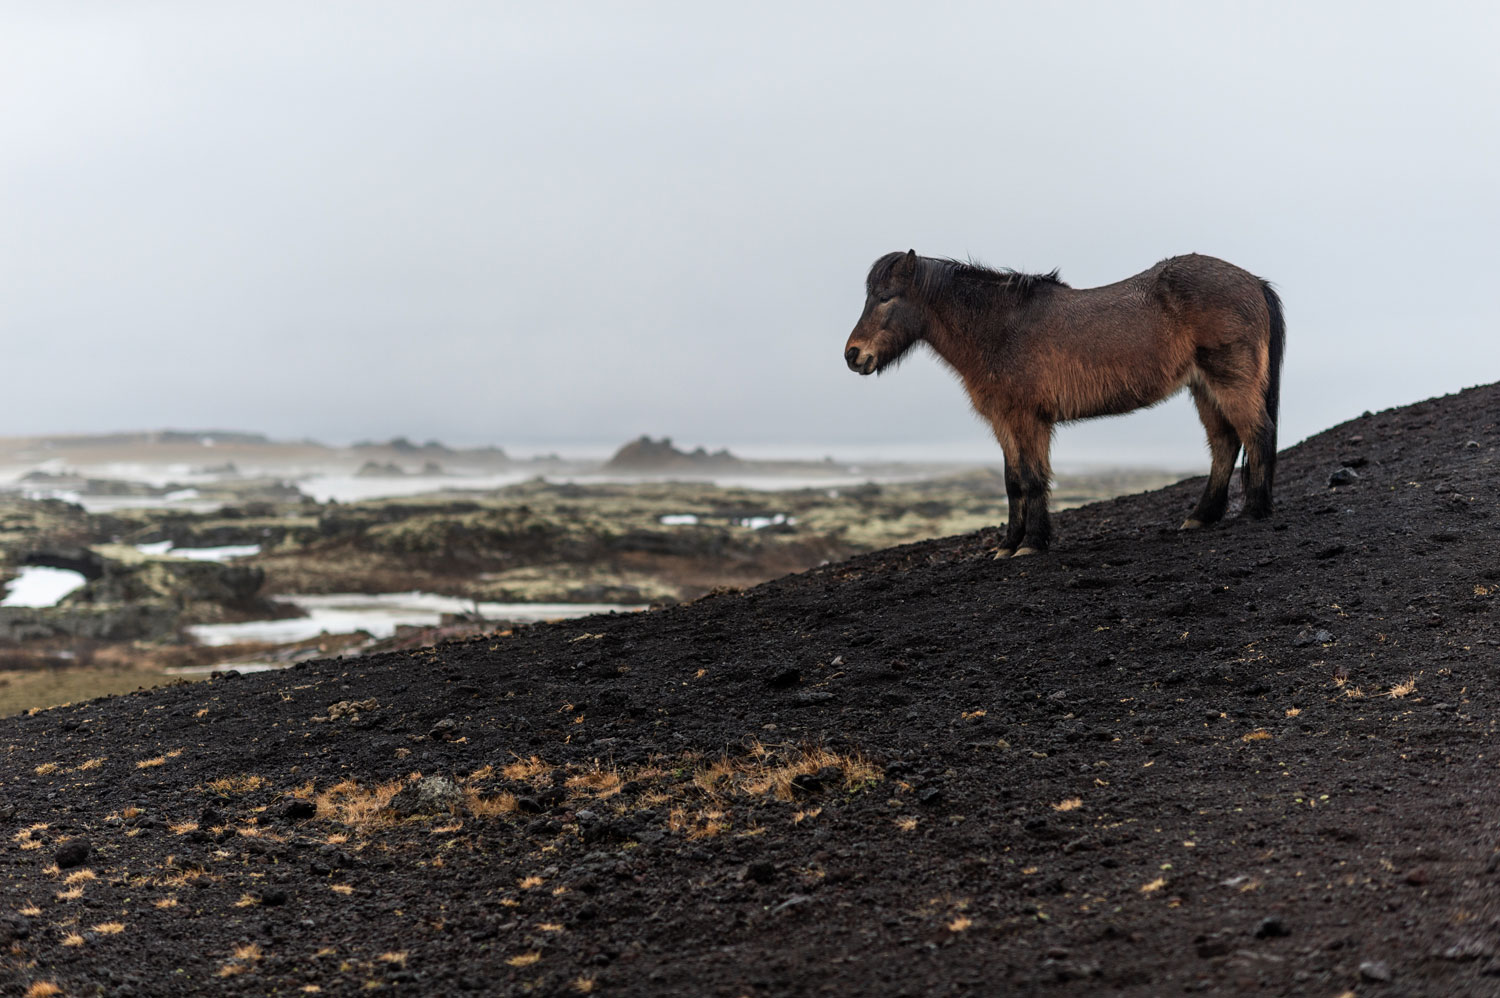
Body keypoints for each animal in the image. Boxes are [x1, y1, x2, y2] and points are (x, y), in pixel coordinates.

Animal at [852, 249, 1284, 555]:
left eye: (886, 298)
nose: (853, 355)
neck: (999, 328)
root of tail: (1255, 282)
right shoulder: (1004, 421)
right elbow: (1013, 481)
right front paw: (1008, 544)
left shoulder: (1028, 419)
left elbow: (1032, 477)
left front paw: (1032, 543)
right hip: (1203, 388)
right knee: (1225, 443)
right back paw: (1200, 517)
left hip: (1229, 382)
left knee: (1257, 434)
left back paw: (1253, 512)